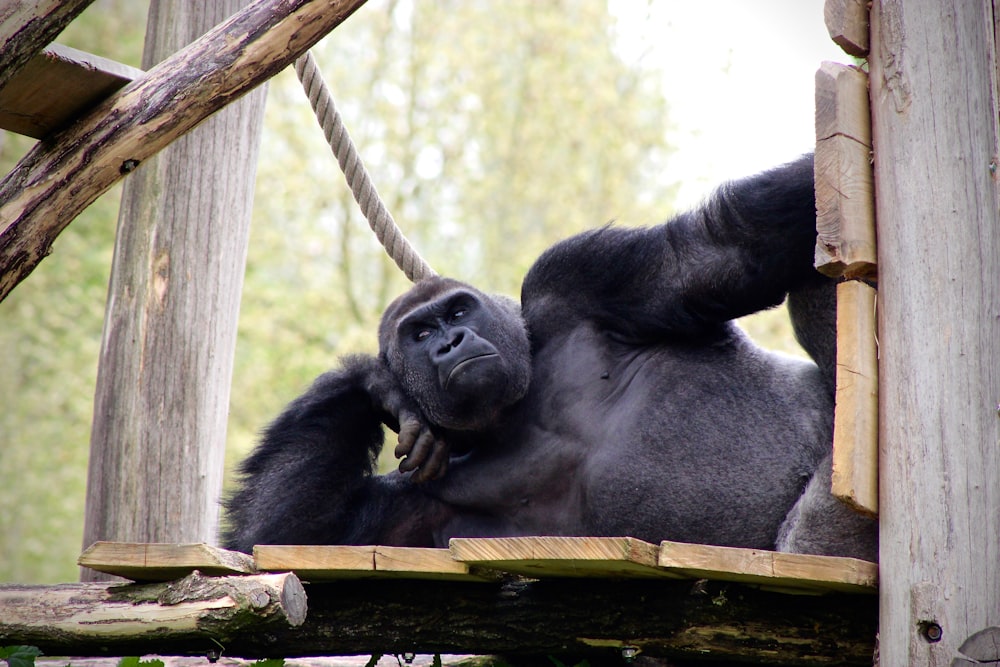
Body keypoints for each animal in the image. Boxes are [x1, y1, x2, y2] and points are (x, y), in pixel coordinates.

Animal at [225, 157, 876, 564]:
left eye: (458, 311)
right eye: (419, 333)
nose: (449, 344)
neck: (520, 408)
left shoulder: (571, 275)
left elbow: (726, 246)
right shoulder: (423, 500)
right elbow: (285, 541)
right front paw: (380, 385)